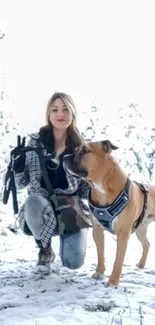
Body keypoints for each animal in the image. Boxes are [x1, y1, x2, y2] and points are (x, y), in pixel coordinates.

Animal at [63, 140, 155, 286]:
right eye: (76, 149)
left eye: (85, 151)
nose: (65, 157)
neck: (100, 186)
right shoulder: (97, 230)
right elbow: (100, 253)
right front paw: (99, 272)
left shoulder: (123, 234)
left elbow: (118, 260)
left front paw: (113, 281)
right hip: (140, 229)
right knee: (146, 244)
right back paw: (141, 264)